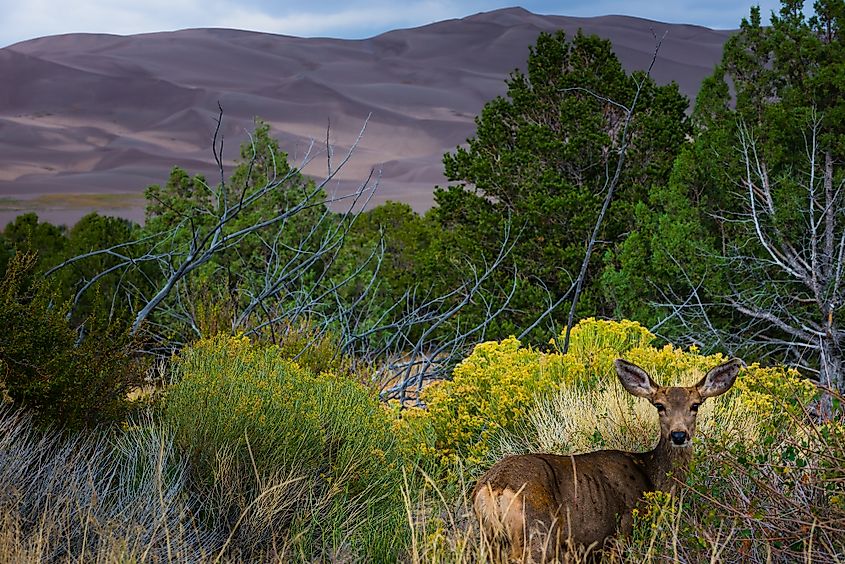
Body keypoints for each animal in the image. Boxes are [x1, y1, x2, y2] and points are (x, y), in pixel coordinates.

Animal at [472, 356, 740, 560]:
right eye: (659, 405)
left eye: (695, 405)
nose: (678, 434)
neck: (651, 477)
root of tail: (494, 487)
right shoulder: (622, 532)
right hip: (538, 534)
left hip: (490, 540)